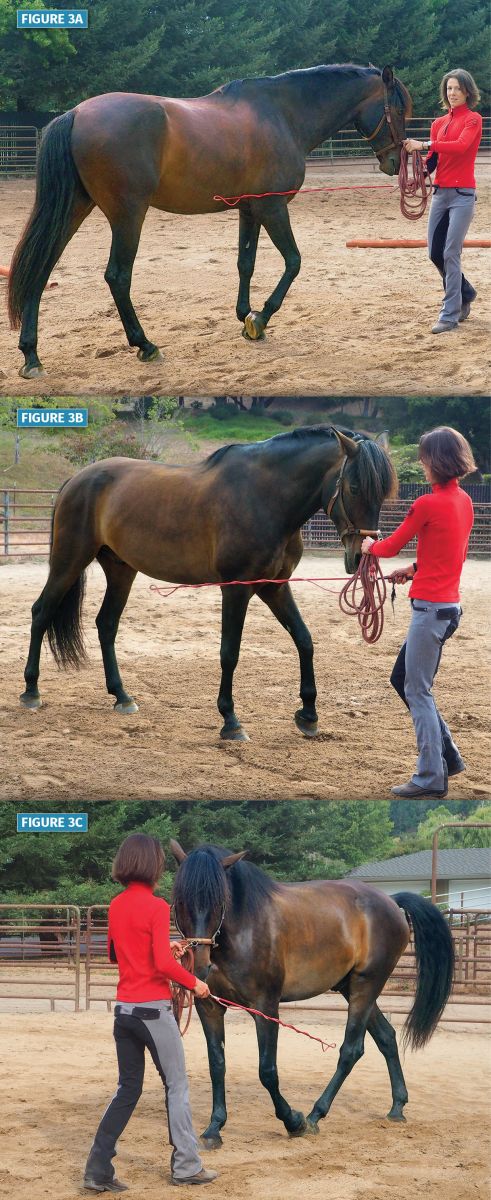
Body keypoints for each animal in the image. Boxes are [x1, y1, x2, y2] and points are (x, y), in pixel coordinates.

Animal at [8, 63, 411, 377]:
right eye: (396, 108)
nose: (394, 163)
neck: (282, 115)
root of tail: (76, 114)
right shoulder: (273, 208)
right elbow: (293, 262)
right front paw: (261, 318)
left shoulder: (250, 209)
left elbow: (245, 263)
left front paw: (245, 317)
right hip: (127, 215)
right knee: (117, 277)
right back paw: (145, 345)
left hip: (75, 208)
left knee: (41, 268)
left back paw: (31, 355)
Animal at [20, 426, 397, 741]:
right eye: (354, 487)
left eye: (384, 494)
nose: (360, 554)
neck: (264, 498)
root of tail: (78, 479)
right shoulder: (236, 588)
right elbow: (229, 652)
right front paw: (231, 721)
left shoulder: (274, 586)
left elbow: (304, 640)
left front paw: (308, 715)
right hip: (69, 560)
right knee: (42, 612)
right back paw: (31, 691)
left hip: (120, 569)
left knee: (106, 624)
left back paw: (122, 696)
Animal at [170, 839, 454, 1145]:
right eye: (181, 900)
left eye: (220, 901)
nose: (201, 967)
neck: (245, 928)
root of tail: (391, 901)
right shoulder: (210, 1007)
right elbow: (217, 1064)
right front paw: (215, 1127)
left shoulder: (265, 1007)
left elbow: (267, 1071)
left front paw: (293, 1121)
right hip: (350, 987)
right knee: (387, 1037)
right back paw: (397, 1107)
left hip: (366, 985)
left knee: (351, 1050)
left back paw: (315, 1115)